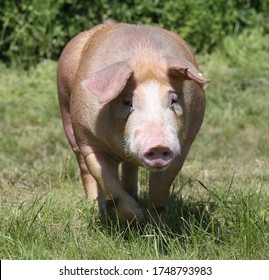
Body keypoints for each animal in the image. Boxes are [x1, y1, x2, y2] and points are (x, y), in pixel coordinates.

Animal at [56, 21, 209, 224]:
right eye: (128, 102)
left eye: (174, 100)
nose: (158, 144)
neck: (144, 56)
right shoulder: (89, 142)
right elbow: (109, 187)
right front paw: (137, 218)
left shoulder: (182, 147)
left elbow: (160, 194)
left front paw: (155, 225)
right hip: (66, 109)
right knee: (83, 167)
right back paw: (95, 207)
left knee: (130, 167)